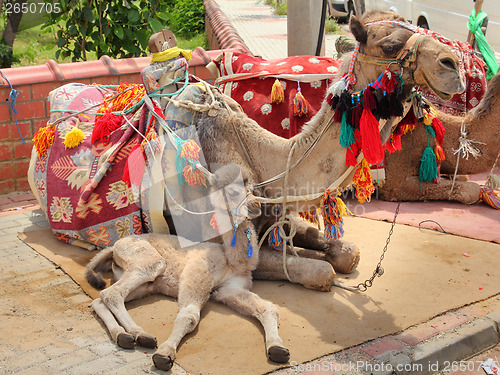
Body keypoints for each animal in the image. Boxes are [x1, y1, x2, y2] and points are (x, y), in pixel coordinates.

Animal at [85, 166, 290, 372]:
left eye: (253, 189)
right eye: (232, 191)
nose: (256, 205)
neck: (231, 261)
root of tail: (113, 247)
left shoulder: (230, 288)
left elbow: (268, 308)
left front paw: (278, 348)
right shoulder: (197, 274)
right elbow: (189, 316)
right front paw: (164, 355)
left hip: (145, 285)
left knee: (101, 299)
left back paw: (125, 336)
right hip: (148, 262)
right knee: (111, 293)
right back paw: (140, 334)